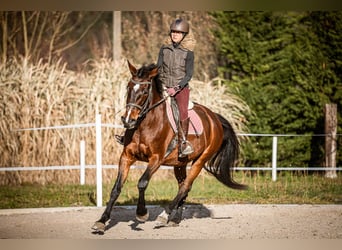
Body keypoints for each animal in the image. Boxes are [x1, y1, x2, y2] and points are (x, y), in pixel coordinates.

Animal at [91, 60, 247, 234]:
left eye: (144, 91)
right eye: (128, 87)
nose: (128, 120)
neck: (145, 124)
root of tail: (214, 118)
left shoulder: (156, 159)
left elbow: (142, 182)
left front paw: (142, 214)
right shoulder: (126, 157)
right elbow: (116, 189)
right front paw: (101, 221)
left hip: (200, 160)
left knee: (185, 186)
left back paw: (164, 215)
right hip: (180, 163)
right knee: (182, 186)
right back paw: (174, 219)